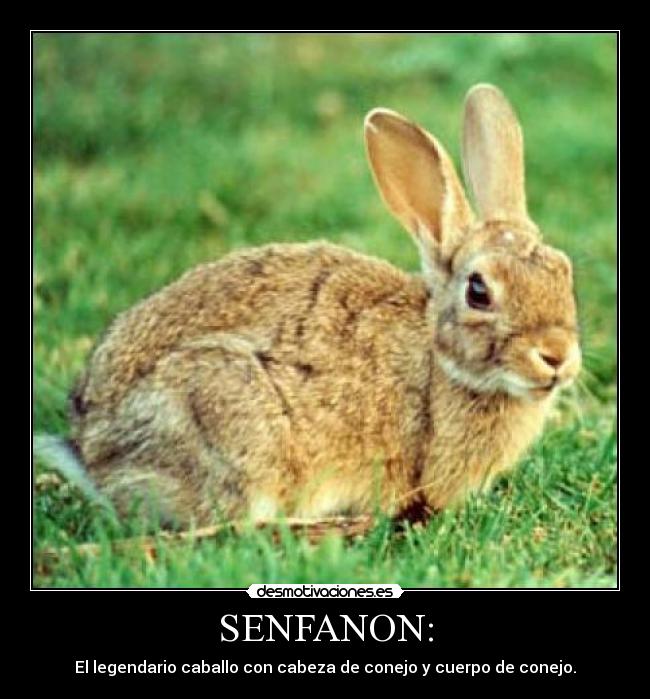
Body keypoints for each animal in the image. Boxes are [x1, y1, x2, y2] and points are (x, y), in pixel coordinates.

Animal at [37, 84, 581, 528]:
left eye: (564, 272)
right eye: (478, 291)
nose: (556, 356)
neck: (439, 362)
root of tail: (91, 452)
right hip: (228, 416)